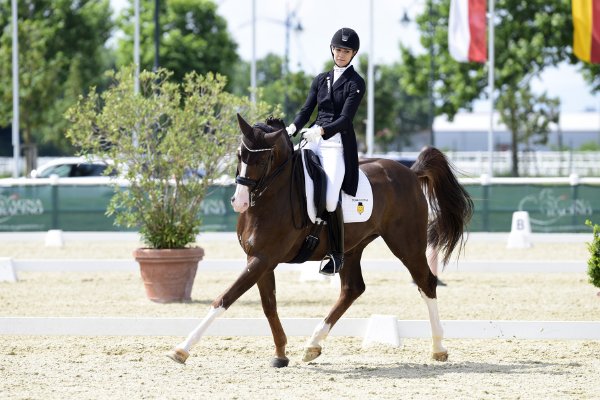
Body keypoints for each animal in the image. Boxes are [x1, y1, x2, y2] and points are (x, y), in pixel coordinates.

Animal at [165, 114, 474, 368]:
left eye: (263, 160)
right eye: (240, 154)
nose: (239, 202)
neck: (271, 198)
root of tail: (409, 171)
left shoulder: (263, 259)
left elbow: (225, 298)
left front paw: (182, 349)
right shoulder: (260, 259)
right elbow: (269, 305)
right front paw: (281, 354)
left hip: (406, 244)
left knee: (426, 282)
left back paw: (438, 348)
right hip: (352, 248)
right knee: (352, 289)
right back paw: (313, 345)